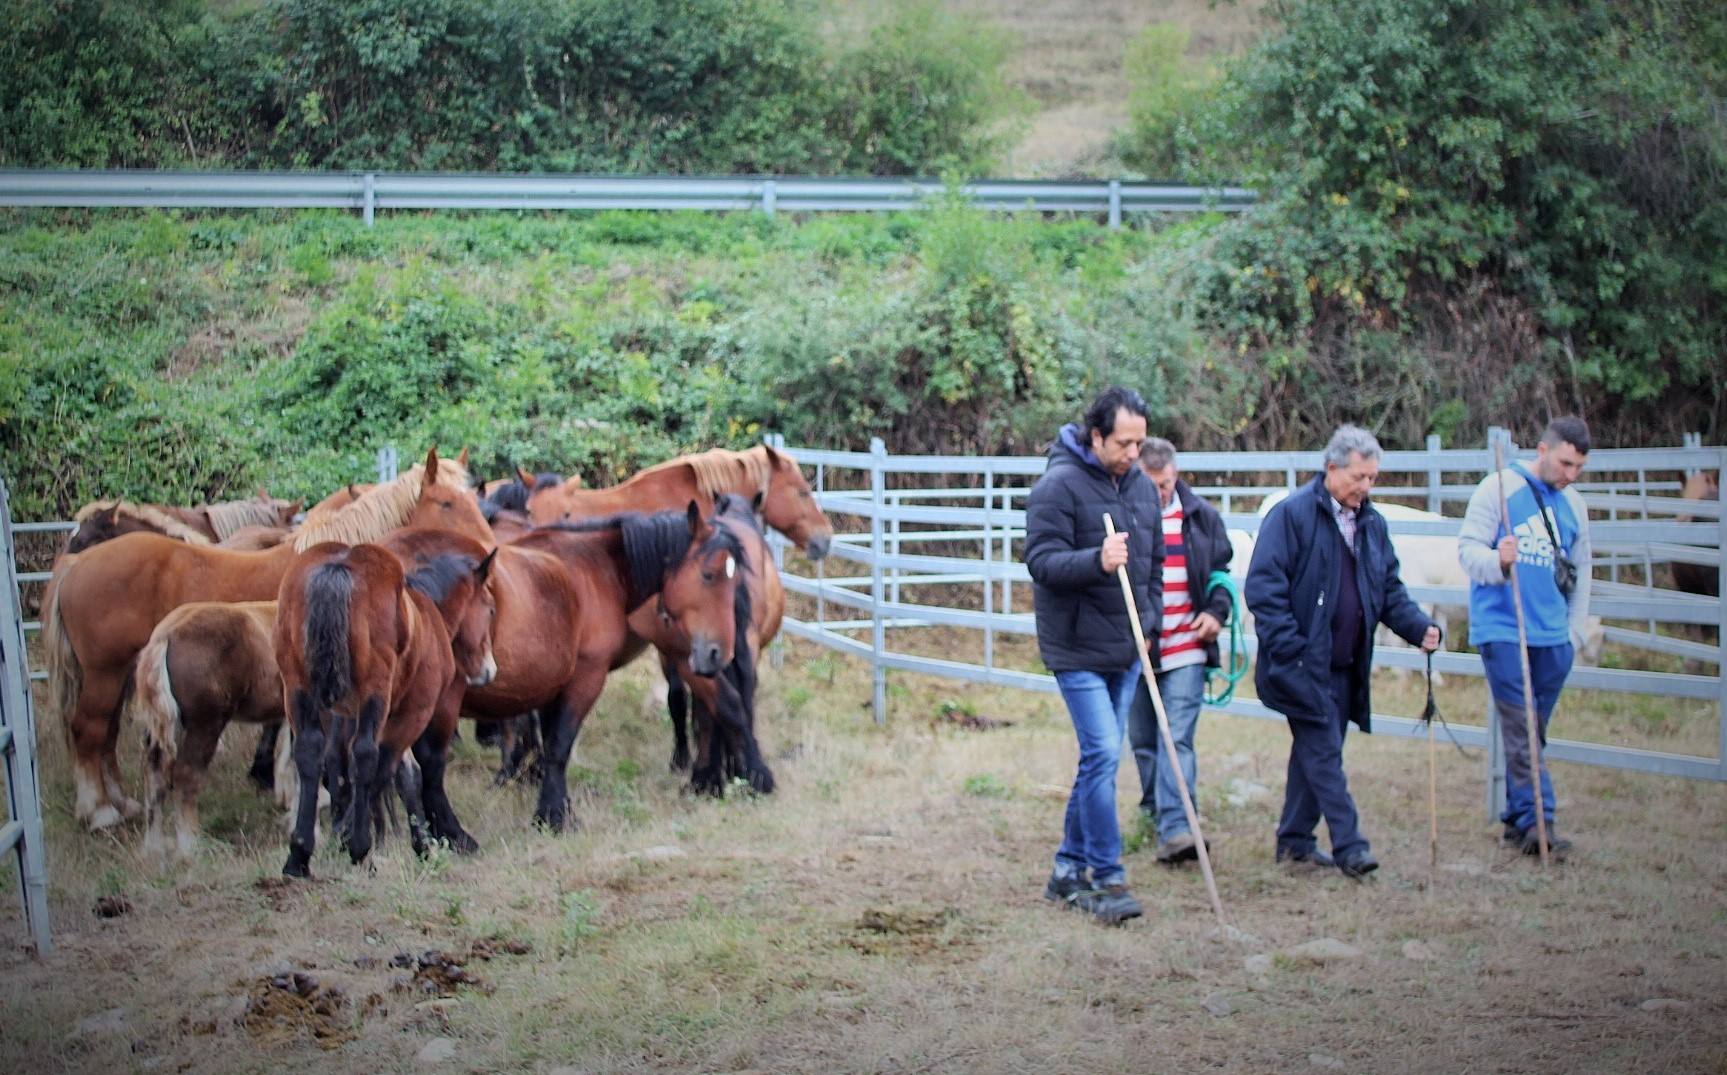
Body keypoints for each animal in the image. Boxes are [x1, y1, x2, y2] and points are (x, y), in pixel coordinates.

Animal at [43, 449, 490, 829]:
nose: (488, 545)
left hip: (119, 676)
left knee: (105, 734)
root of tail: (75, 564)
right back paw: (100, 812)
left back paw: (121, 804)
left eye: (473, 494)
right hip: (105, 673)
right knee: (89, 729)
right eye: (446, 503)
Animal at [272, 535, 497, 881]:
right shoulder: (413, 712)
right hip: (373, 694)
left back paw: (298, 855)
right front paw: (351, 838)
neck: (427, 615)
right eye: (490, 608)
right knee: (365, 756)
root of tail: (338, 569)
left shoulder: (370, 714)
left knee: (309, 753)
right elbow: (386, 769)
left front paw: (419, 844)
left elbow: (399, 774)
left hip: (297, 688)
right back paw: (359, 849)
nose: (488, 669)